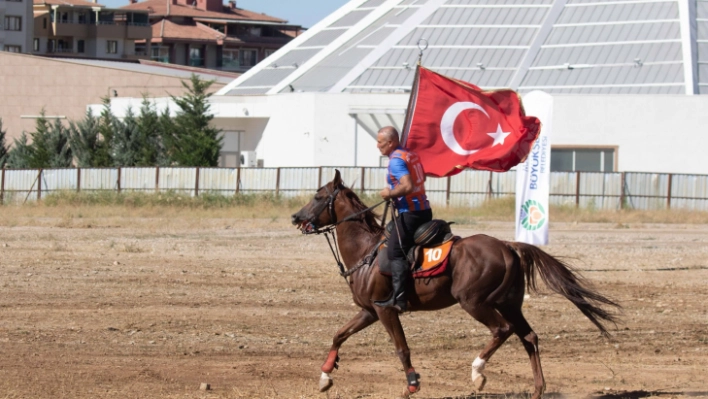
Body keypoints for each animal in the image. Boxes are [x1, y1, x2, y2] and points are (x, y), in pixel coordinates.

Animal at [290, 170, 616, 398]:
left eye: (318, 196)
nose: (295, 217)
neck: (366, 251)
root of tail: (508, 246)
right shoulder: (369, 311)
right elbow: (339, 335)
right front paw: (325, 377)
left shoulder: (386, 310)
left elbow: (402, 348)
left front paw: (412, 384)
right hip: (509, 303)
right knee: (529, 337)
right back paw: (537, 389)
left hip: (475, 302)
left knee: (503, 330)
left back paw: (478, 373)